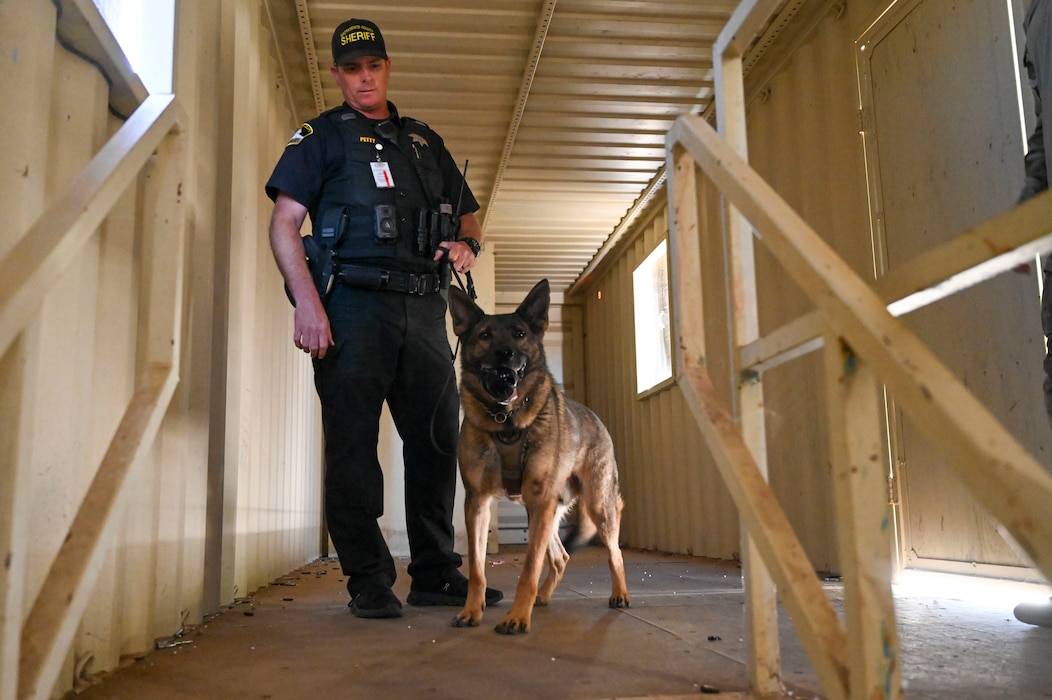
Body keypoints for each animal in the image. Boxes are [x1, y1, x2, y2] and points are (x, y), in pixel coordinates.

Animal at [446, 277, 626, 631]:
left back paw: (619, 594)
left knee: (614, 552)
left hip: (596, 506)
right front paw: (472, 610)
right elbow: (477, 569)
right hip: (542, 513)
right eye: (485, 335)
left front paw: (517, 617)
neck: (506, 421)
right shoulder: (477, 504)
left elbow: (529, 568)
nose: (505, 355)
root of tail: (596, 419)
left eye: (519, 333)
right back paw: (543, 596)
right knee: (561, 556)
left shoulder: (538, 500)